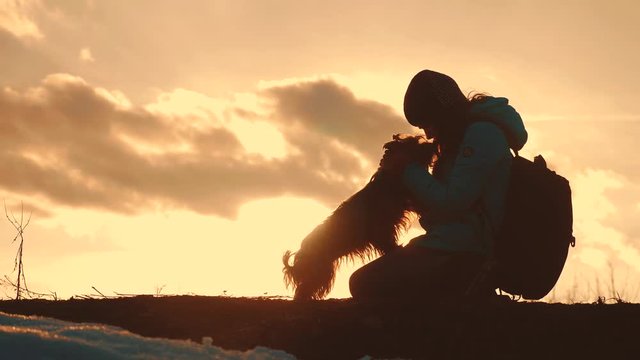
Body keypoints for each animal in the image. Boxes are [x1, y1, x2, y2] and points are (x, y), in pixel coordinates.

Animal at [282, 134, 438, 300]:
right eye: (416, 143)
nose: (433, 145)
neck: (388, 179)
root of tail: (301, 252)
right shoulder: (381, 228)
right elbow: (388, 241)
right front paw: (396, 249)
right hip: (320, 272)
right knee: (304, 289)